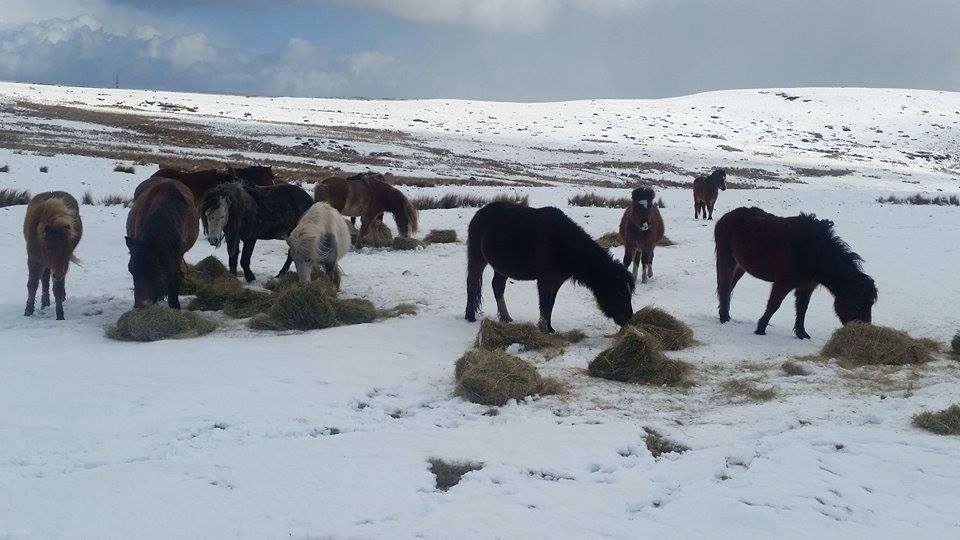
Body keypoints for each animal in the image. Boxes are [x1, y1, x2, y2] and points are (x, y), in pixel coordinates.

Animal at [23, 191, 83, 320]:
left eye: (67, 249)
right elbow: (32, 285)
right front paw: (28, 311)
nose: (58, 275)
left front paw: (60, 315)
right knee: (45, 279)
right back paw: (45, 303)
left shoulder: (63, 264)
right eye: (48, 248)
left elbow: (57, 289)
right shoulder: (34, 261)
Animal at [125, 178, 199, 308]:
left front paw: (174, 304)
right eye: (131, 270)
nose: (142, 305)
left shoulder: (176, 256)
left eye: (155, 269)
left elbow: (175, 277)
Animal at [465, 202, 635, 333]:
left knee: (498, 287)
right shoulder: (545, 280)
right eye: (619, 292)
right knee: (472, 283)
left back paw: (506, 318)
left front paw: (550, 328)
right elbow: (545, 302)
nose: (628, 320)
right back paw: (470, 316)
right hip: (477, 259)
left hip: (501, 267)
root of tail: (479, 213)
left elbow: (551, 302)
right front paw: (544, 328)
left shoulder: (557, 280)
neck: (563, 245)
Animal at [714, 207, 877, 339]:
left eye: (870, 304)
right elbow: (774, 305)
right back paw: (724, 317)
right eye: (856, 304)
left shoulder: (806, 287)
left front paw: (801, 333)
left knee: (729, 287)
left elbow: (802, 309)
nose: (864, 330)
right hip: (727, 260)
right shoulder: (783, 283)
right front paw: (760, 329)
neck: (814, 252)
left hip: (740, 267)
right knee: (725, 287)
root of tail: (726, 217)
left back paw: (725, 314)